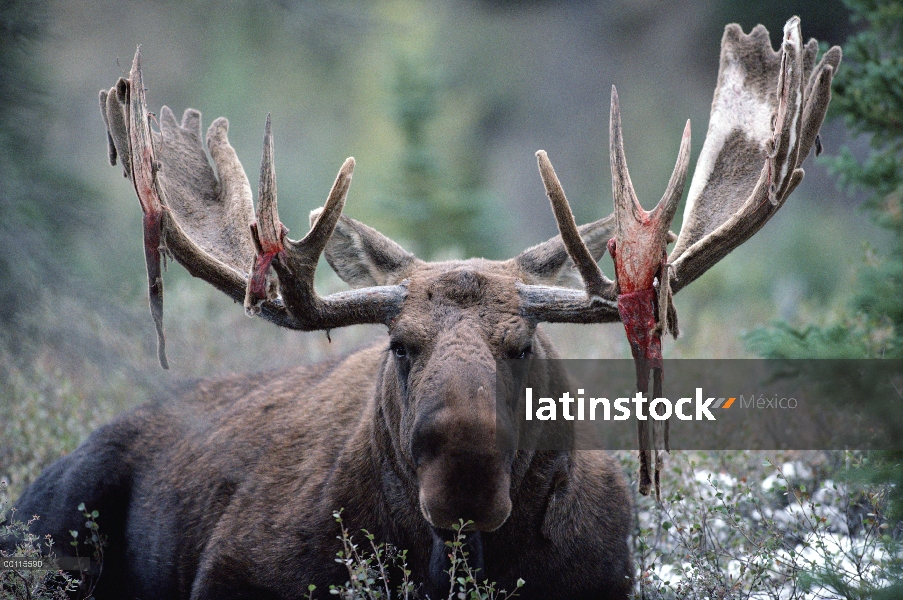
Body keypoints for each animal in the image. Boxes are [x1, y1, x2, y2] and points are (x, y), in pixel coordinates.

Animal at [5, 18, 840, 600]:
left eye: (522, 345)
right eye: (399, 344)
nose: (463, 474)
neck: (459, 564)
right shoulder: (234, 570)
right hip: (51, 530)